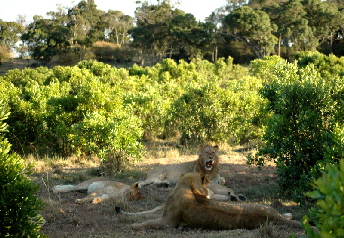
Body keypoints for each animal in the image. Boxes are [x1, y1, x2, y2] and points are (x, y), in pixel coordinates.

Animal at [125, 172, 300, 230]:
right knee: (287, 215)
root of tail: (271, 216)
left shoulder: (168, 222)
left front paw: (133, 226)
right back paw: (288, 213)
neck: (185, 187)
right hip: (263, 207)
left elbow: (148, 222)